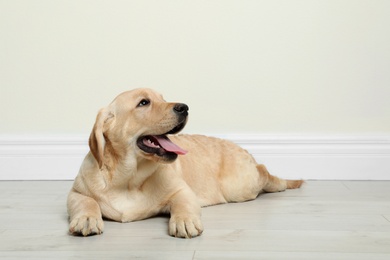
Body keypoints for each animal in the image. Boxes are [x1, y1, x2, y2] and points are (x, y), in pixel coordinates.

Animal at [68, 88, 304, 239]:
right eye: (144, 102)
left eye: (162, 98)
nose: (184, 107)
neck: (129, 179)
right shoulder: (76, 192)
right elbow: (86, 202)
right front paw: (87, 219)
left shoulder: (182, 191)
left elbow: (183, 204)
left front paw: (184, 221)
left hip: (240, 187)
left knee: (265, 173)